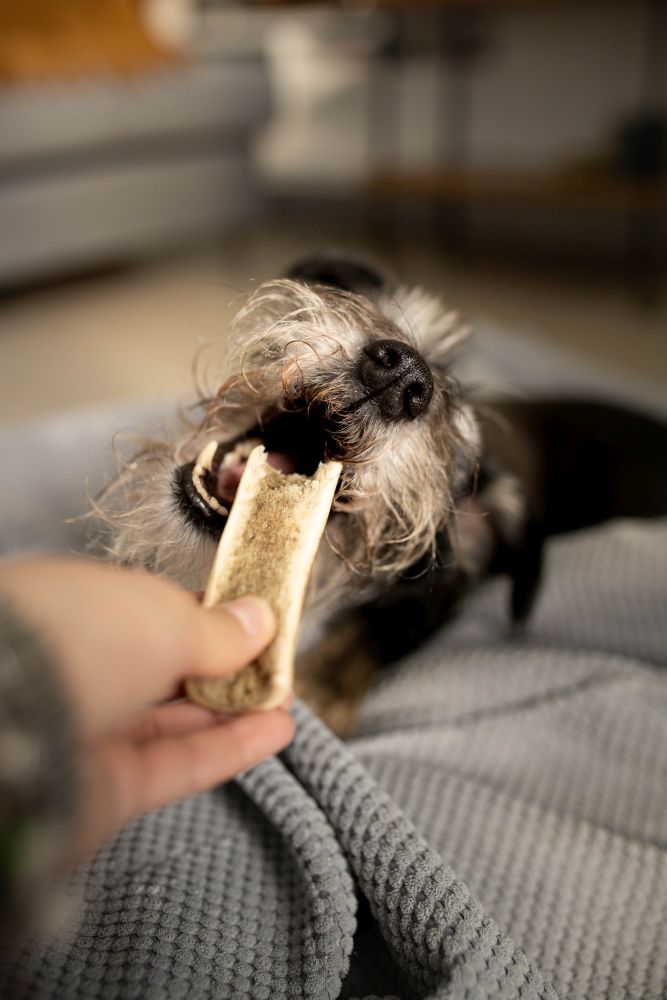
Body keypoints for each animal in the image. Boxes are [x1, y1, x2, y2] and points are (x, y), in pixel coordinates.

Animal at [94, 254, 667, 732]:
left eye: (460, 444)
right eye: (387, 312)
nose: (404, 375)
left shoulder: (440, 593)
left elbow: (374, 629)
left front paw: (317, 691)